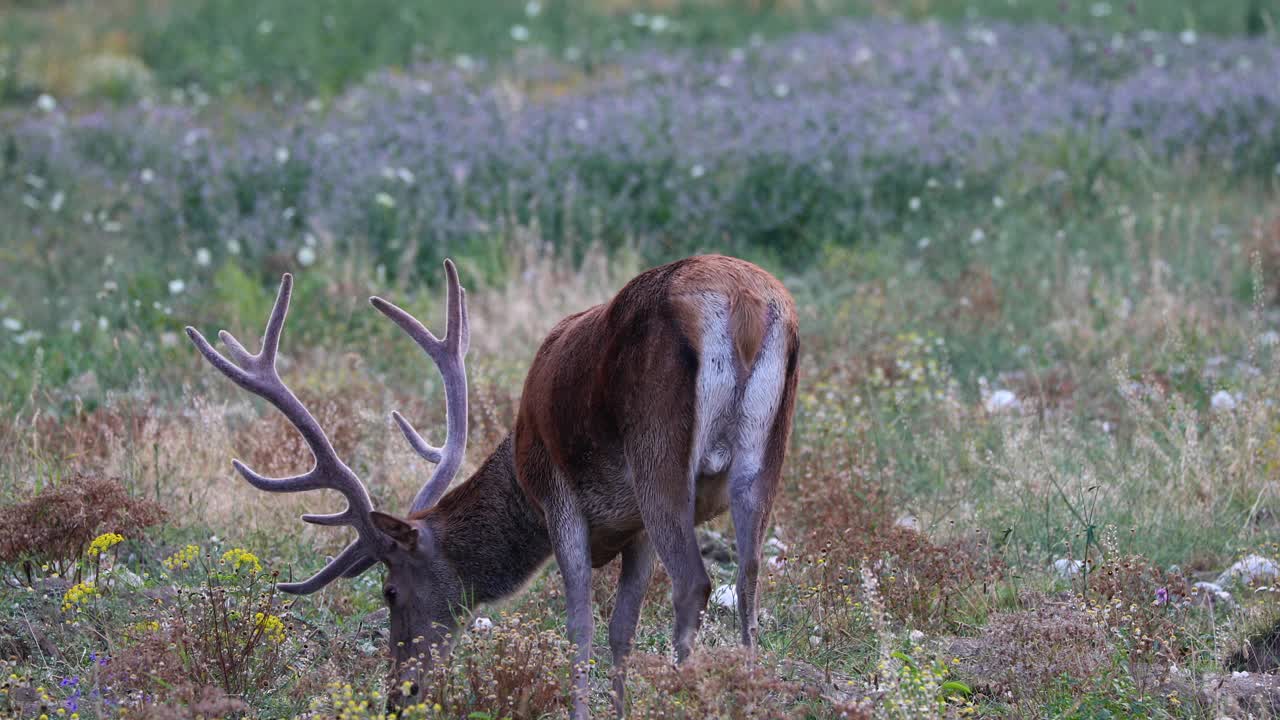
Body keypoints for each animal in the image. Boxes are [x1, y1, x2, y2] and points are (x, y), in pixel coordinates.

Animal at [185, 252, 793, 712]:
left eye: (389, 590)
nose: (399, 694)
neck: (519, 478)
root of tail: (742, 308)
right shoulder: (632, 527)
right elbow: (621, 631)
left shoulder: (560, 496)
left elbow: (580, 627)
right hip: (763, 461)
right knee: (749, 585)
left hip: (659, 456)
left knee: (695, 583)